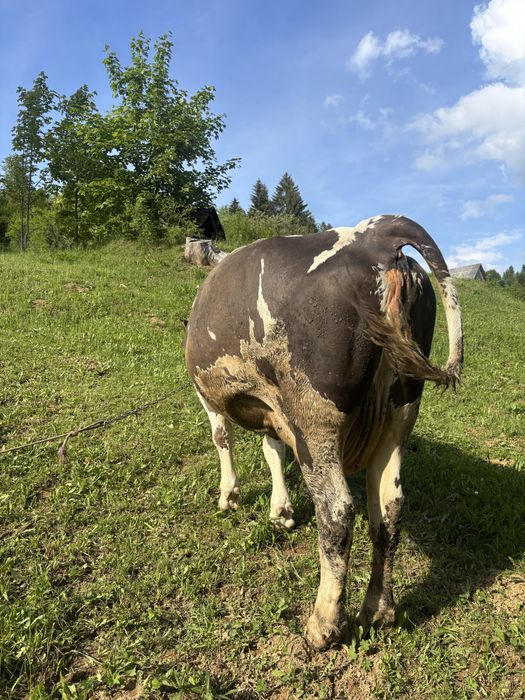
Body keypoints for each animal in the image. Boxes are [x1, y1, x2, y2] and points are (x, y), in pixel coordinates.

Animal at [184, 215, 463, 650]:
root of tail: (375, 234)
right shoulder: (274, 409)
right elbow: (273, 451)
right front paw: (281, 510)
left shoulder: (210, 395)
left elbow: (221, 439)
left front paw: (229, 496)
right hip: (398, 415)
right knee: (390, 508)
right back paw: (378, 611)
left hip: (316, 419)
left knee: (337, 511)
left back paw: (323, 625)